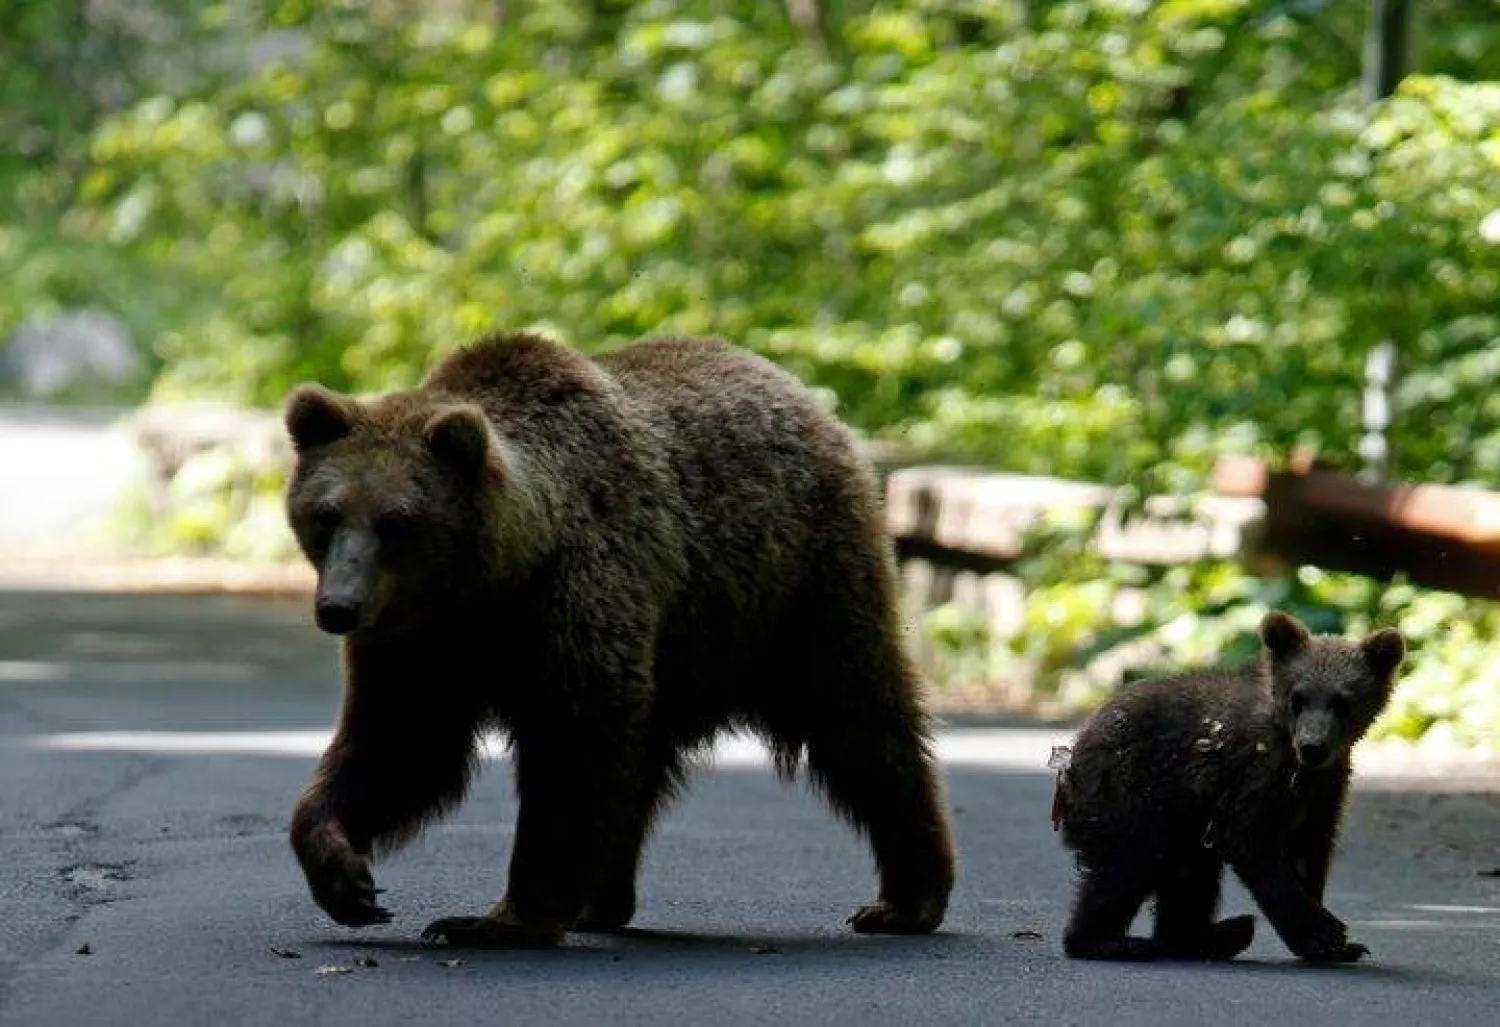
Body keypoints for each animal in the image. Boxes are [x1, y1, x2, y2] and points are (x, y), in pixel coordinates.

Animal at [282, 331, 956, 948]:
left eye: (396, 521)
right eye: (326, 513)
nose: (339, 607)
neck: (497, 580)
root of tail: (801, 394)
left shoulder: (574, 596)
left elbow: (571, 745)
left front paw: (496, 919)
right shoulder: (420, 641)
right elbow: (403, 742)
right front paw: (345, 876)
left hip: (795, 589)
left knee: (858, 722)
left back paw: (907, 899)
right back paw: (601, 900)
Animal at [1053, 610, 1404, 964]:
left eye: (1343, 701)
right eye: (1298, 698)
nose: (1312, 746)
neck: (1300, 767)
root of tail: (1075, 751)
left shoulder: (1326, 791)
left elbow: (1309, 853)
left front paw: (1337, 944)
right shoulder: (1256, 774)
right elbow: (1250, 841)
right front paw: (1324, 933)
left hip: (1183, 819)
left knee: (1190, 875)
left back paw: (1212, 936)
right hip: (1129, 791)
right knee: (1128, 863)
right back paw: (1110, 941)